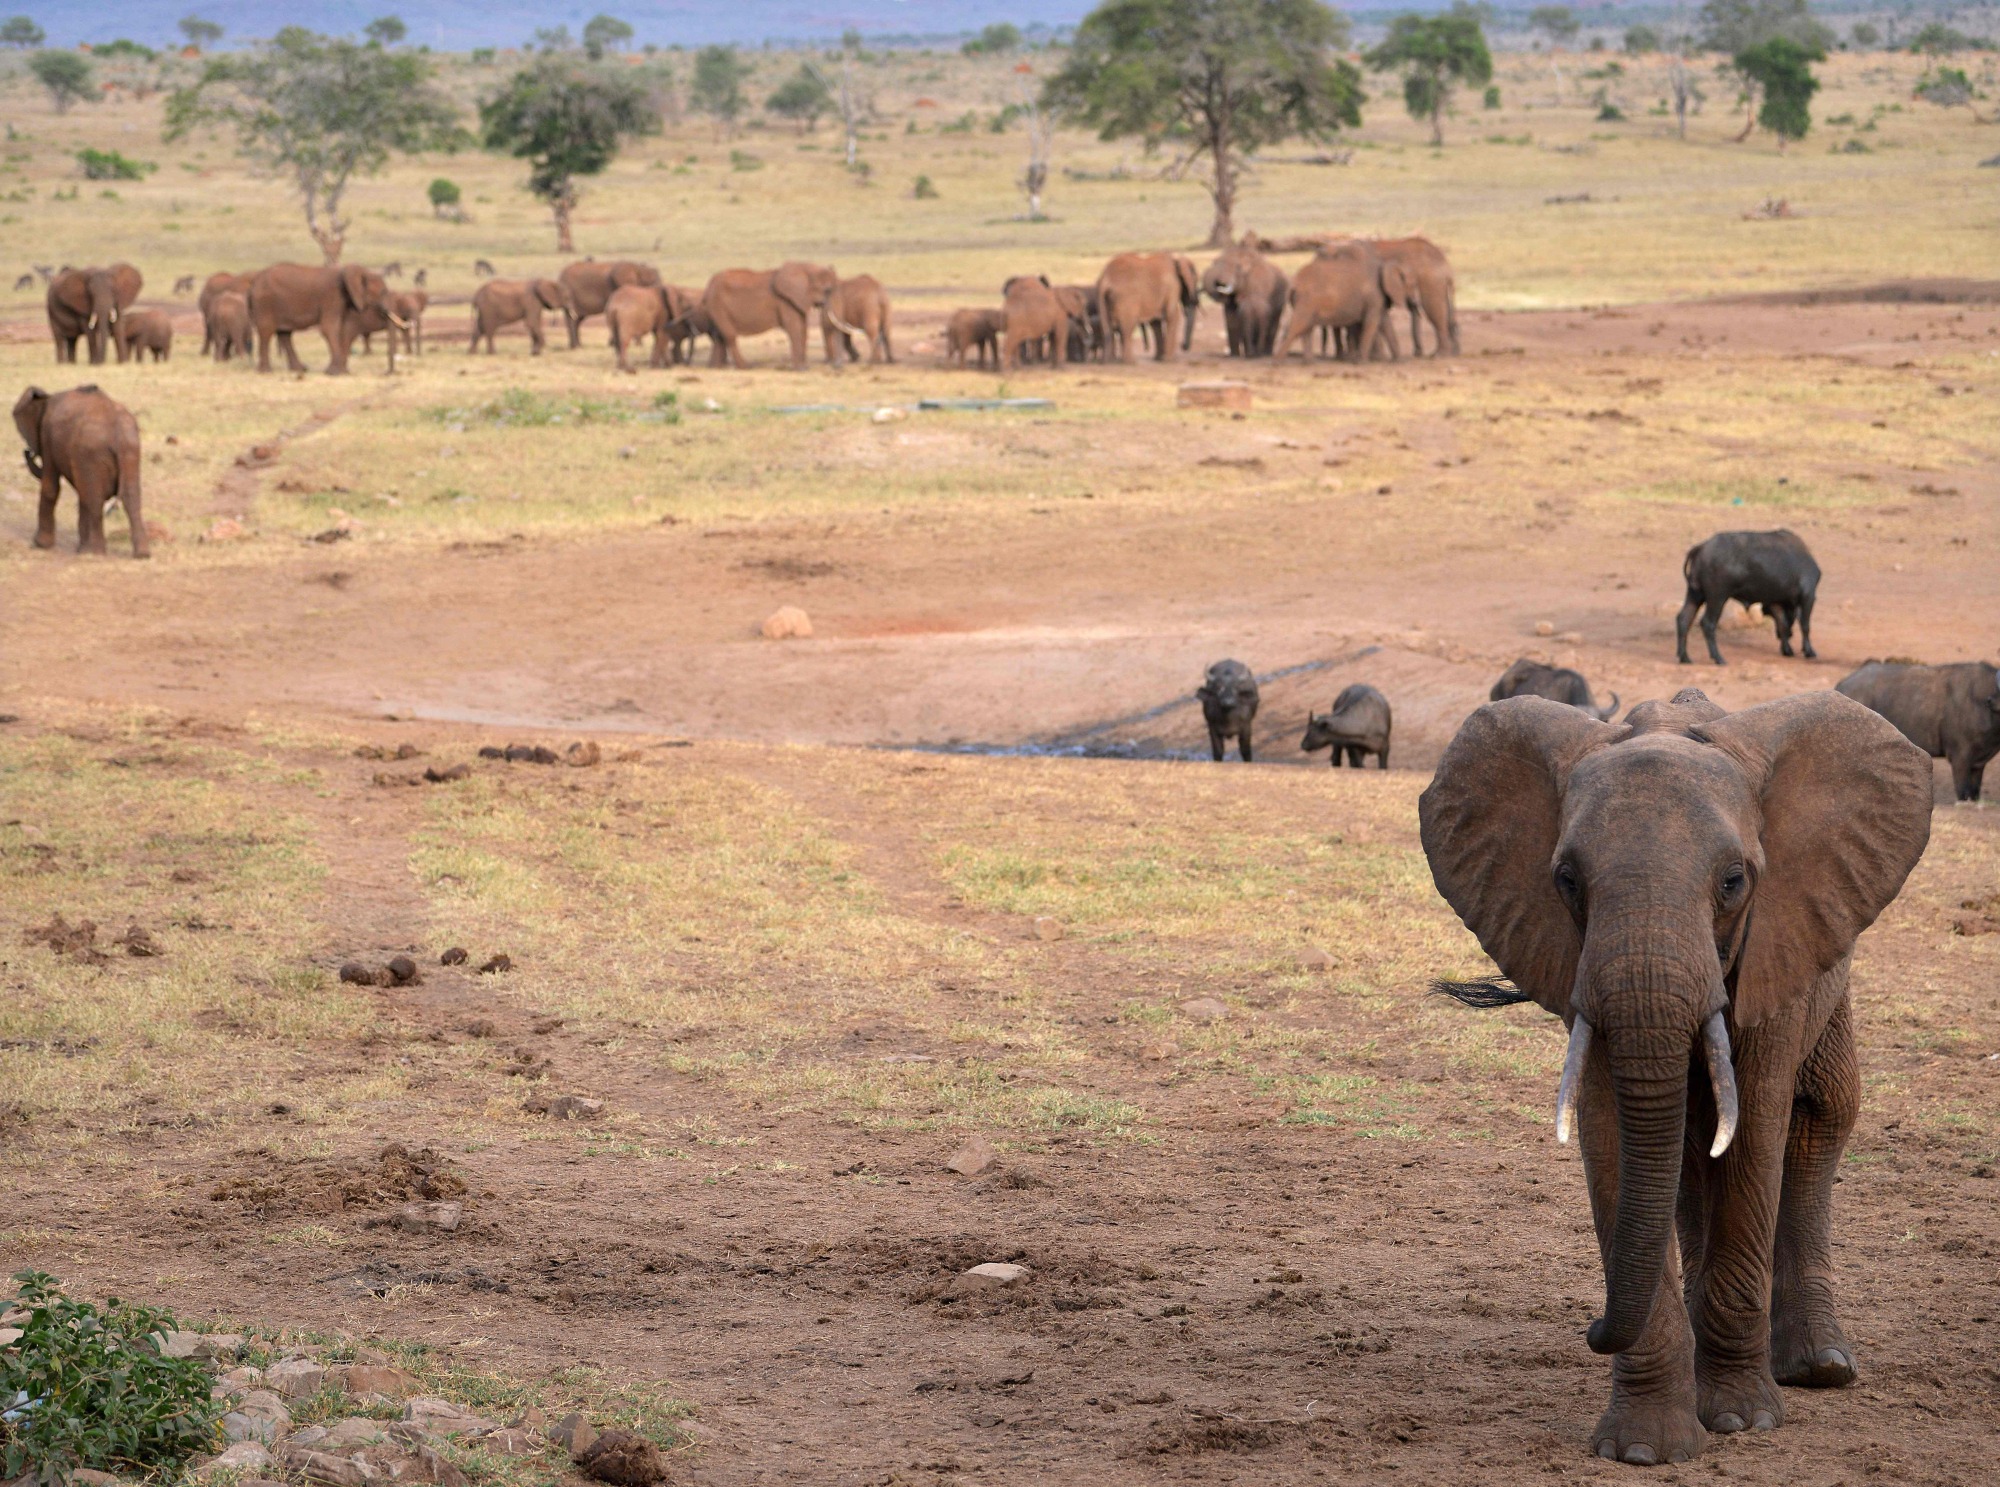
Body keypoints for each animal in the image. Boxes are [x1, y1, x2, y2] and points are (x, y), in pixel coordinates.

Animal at [1416, 691, 1928, 1471]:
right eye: (1567, 880)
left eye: (1734, 882)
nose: (1593, 1327)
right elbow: (1614, 1136)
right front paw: (1644, 1447)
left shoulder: (1777, 939)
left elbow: (1755, 1129)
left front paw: (1744, 1420)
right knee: (1687, 1157)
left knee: (1822, 1114)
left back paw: (1819, 1367)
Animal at [1680, 527, 1824, 659]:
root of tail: (1702, 547)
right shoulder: (1808, 597)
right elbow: (1805, 625)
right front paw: (1809, 651)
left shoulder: (1776, 602)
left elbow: (1783, 624)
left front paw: (1787, 650)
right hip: (1717, 598)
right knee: (1707, 623)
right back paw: (1718, 658)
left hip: (1695, 595)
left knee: (1683, 619)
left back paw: (1685, 657)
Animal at [1840, 659, 2000, 803]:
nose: (1990, 701)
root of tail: (1842, 685)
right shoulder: (1960, 758)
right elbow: (1963, 792)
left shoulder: (1978, 764)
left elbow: (1975, 792)